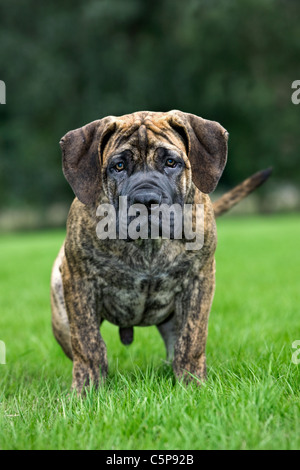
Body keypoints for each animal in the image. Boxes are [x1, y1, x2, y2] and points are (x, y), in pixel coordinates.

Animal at [50, 110, 270, 392]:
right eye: (118, 166)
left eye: (170, 162)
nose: (146, 200)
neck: (148, 245)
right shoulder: (79, 279)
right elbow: (88, 343)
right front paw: (87, 390)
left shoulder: (199, 279)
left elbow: (191, 339)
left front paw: (192, 385)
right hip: (61, 312)